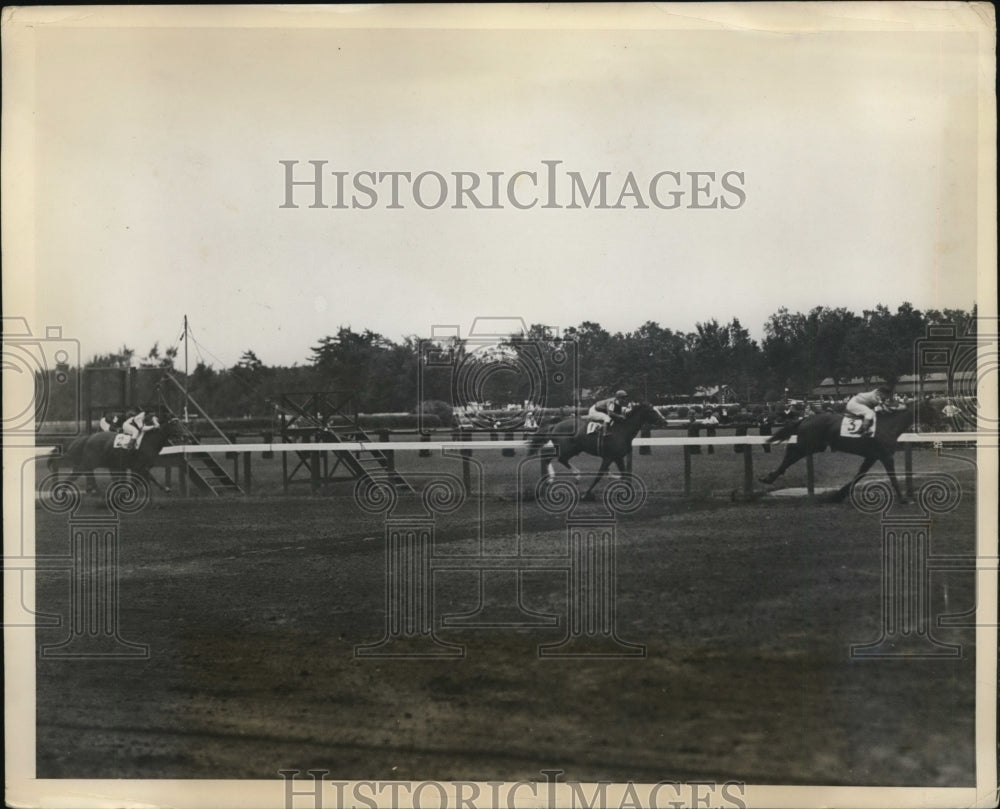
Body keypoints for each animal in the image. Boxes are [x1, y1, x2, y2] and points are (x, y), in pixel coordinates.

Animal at [48, 420, 180, 496]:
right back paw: (62, 492)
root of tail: (88, 438)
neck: (148, 441)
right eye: (175, 426)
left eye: (182, 425)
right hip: (89, 462)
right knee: (76, 475)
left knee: (86, 474)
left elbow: (144, 479)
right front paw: (165, 488)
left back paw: (95, 490)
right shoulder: (139, 466)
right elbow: (148, 477)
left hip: (95, 463)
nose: (184, 435)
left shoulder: (139, 467)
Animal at [528, 402, 660, 498]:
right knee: (552, 458)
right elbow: (599, 476)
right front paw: (586, 494)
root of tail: (555, 425)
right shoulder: (608, 457)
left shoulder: (618, 457)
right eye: (652, 411)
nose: (663, 420)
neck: (622, 430)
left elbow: (625, 474)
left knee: (557, 459)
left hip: (574, 449)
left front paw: (627, 490)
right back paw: (565, 477)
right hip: (566, 449)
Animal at [756, 400, 928, 502]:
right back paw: (769, 477)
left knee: (791, 455)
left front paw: (838, 494)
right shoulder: (885, 456)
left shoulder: (872, 456)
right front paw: (903, 499)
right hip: (807, 444)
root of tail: (806, 418)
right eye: (932, 407)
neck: (888, 425)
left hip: (816, 446)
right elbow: (892, 477)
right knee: (790, 455)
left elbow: (860, 474)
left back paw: (769, 477)